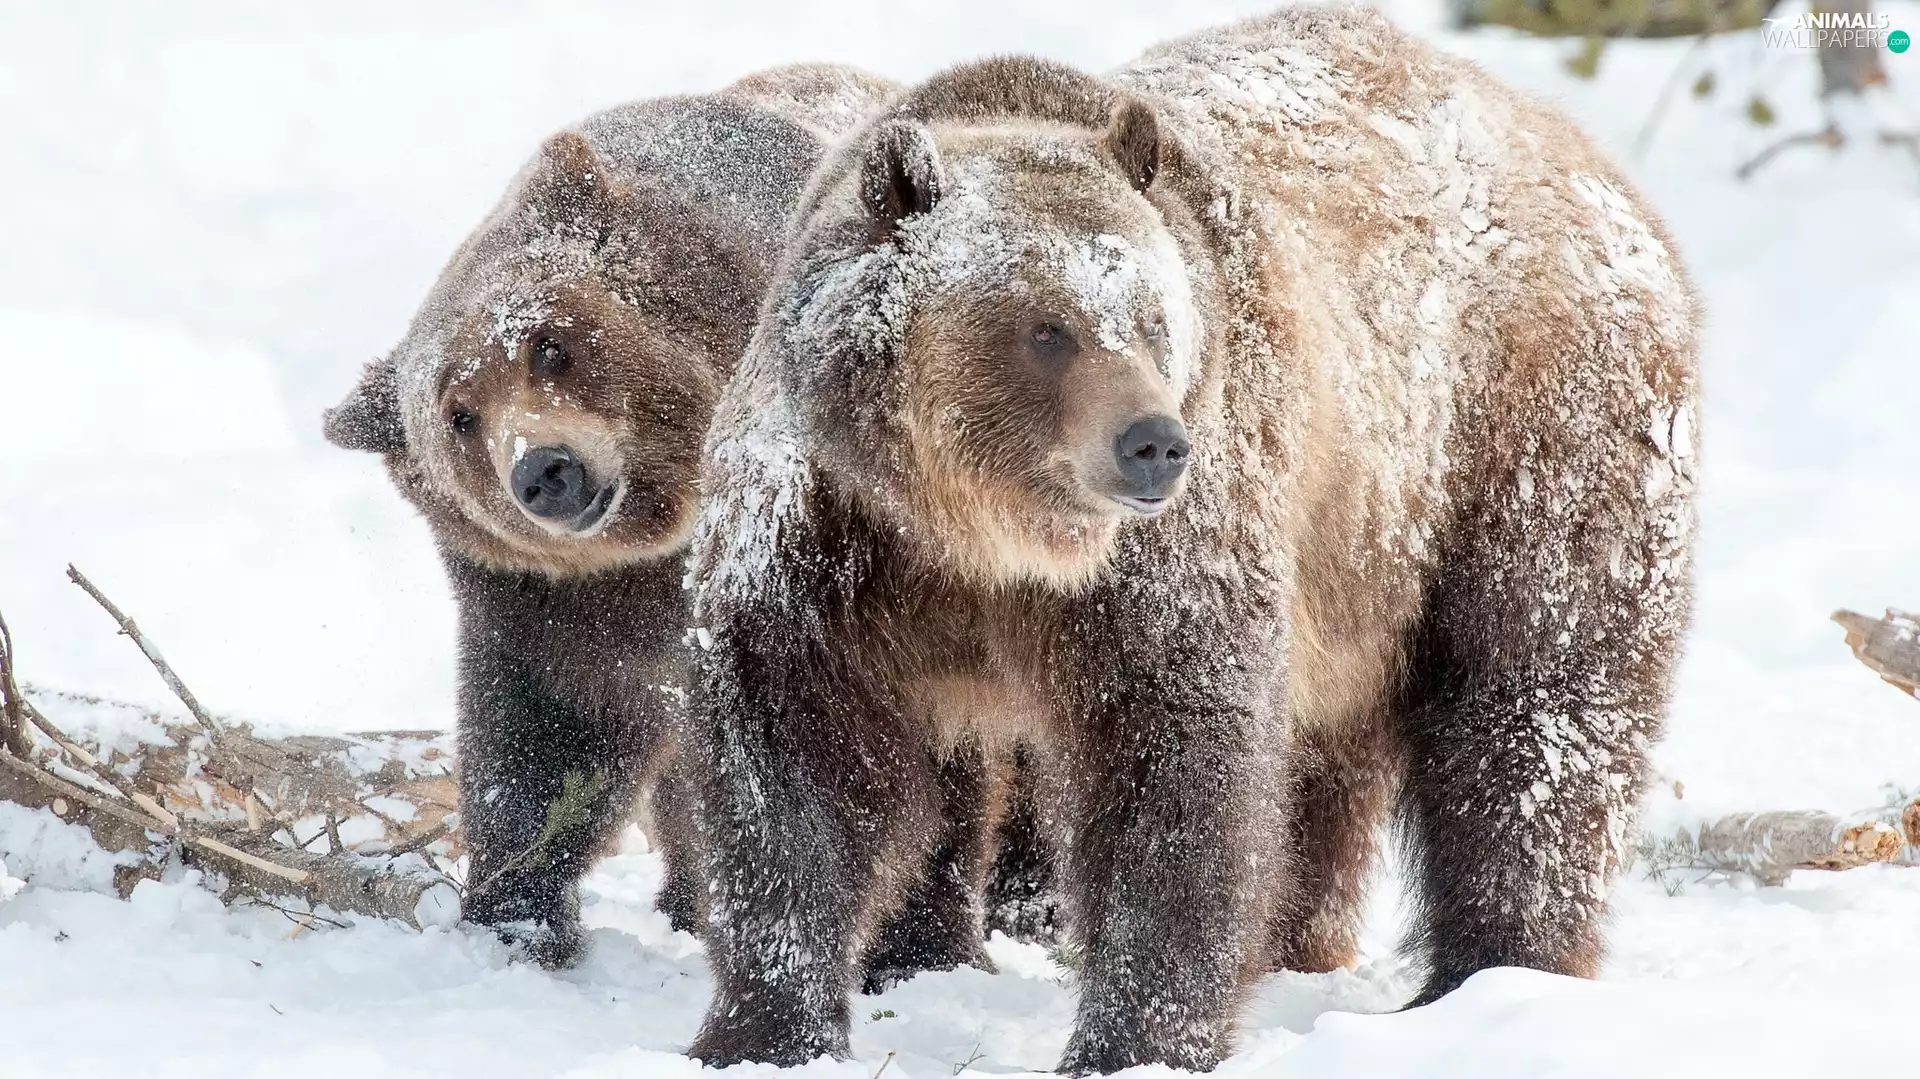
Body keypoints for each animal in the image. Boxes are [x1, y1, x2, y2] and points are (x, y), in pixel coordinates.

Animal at [322, 64, 901, 968]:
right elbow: (550, 735)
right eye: (459, 415)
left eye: (550, 343)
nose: (546, 469)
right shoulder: (556, 600)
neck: (668, 529)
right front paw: (518, 909)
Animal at [683, 5, 1697, 1073]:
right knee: (1334, 765)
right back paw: (1307, 943)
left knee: (1534, 714)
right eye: (1048, 328)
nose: (1153, 442)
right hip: (1357, 562)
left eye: (1149, 317)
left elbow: (1173, 771)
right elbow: (794, 763)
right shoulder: (829, 548)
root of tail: (1590, 161)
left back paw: (1498, 972)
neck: (983, 536)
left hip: (1528, 448)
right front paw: (764, 1025)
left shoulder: (1162, 563)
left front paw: (1132, 1038)